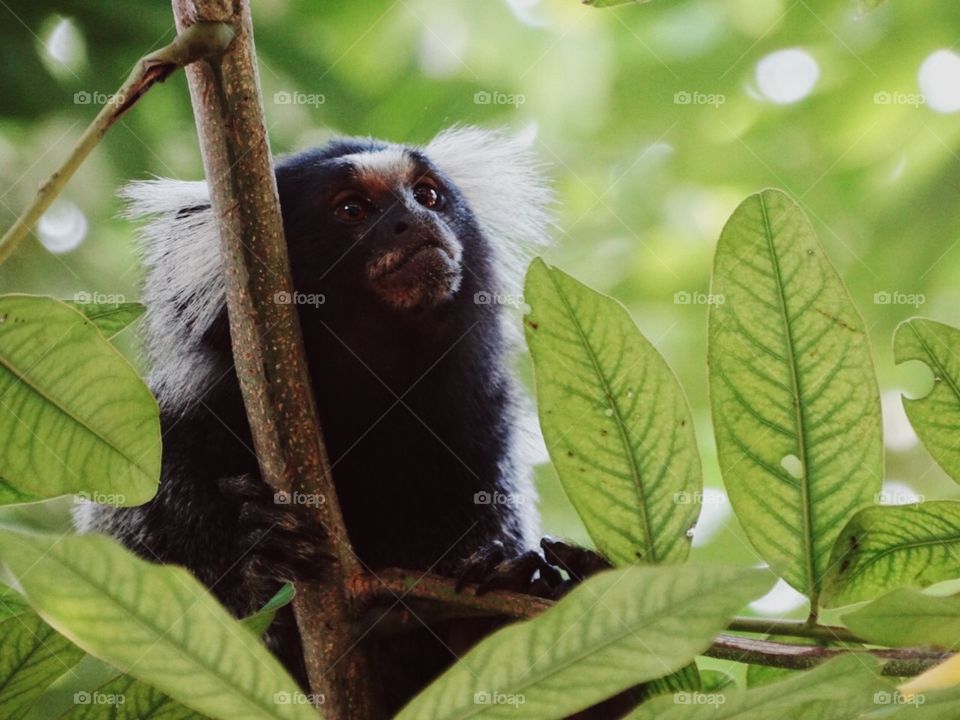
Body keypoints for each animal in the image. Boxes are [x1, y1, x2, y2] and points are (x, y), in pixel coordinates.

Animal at [73, 127, 620, 716]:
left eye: (427, 195)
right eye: (352, 209)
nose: (412, 219)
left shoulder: (481, 432)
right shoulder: (169, 449)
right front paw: (268, 556)